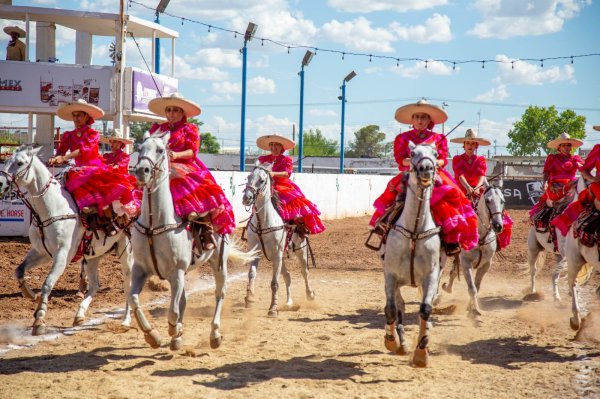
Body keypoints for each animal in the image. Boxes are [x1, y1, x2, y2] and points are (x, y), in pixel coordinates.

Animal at [0, 145, 132, 336]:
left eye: (20, 163)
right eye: (8, 160)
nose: (1, 183)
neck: (53, 209)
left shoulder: (62, 255)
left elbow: (47, 283)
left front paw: (39, 319)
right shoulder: (41, 252)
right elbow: (19, 271)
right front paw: (31, 295)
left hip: (127, 251)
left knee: (129, 284)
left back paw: (127, 319)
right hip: (93, 256)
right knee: (94, 285)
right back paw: (79, 315)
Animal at [130, 134, 254, 350]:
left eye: (160, 150)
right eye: (140, 148)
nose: (141, 170)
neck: (155, 225)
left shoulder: (177, 272)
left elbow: (172, 311)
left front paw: (175, 330)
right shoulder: (140, 269)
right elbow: (134, 301)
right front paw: (153, 335)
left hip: (218, 263)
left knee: (219, 293)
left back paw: (214, 334)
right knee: (183, 301)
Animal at [240, 164, 314, 318]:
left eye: (262, 180)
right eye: (248, 177)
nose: (247, 198)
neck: (264, 222)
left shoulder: (277, 253)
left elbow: (274, 283)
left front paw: (273, 308)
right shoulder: (256, 251)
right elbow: (251, 274)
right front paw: (249, 299)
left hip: (300, 250)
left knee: (304, 272)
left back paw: (310, 294)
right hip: (281, 257)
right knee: (287, 276)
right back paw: (289, 302)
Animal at [382, 143, 442, 368]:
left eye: (435, 153)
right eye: (412, 153)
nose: (426, 168)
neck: (415, 231)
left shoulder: (431, 276)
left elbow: (425, 309)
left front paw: (421, 354)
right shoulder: (390, 276)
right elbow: (391, 309)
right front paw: (391, 341)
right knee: (398, 307)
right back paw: (401, 343)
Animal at [440, 178, 506, 318]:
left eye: (502, 201)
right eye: (488, 200)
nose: (498, 225)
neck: (479, 235)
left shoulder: (486, 264)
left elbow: (477, 286)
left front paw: (471, 307)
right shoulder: (466, 263)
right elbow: (472, 289)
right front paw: (476, 310)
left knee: (453, 272)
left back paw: (447, 288)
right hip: (442, 254)